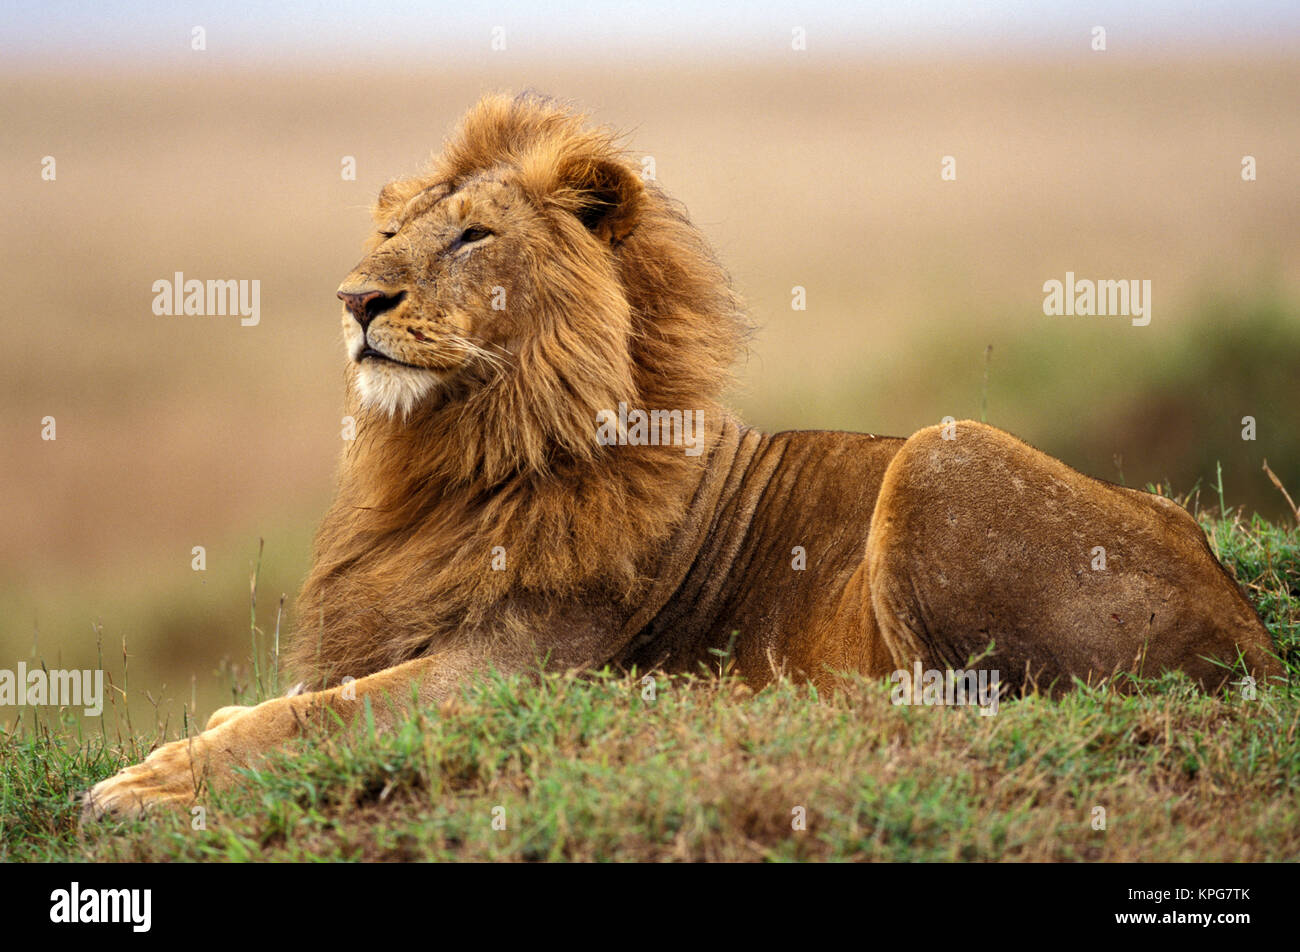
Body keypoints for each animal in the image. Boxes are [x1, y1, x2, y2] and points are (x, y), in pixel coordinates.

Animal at [86, 91, 1284, 816]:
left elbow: (315, 714)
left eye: (472, 236)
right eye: (388, 237)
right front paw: (177, 751)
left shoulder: (513, 668)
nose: (355, 301)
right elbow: (277, 702)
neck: (460, 457)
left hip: (939, 459)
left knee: (945, 701)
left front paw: (142, 787)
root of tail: (1254, 639)